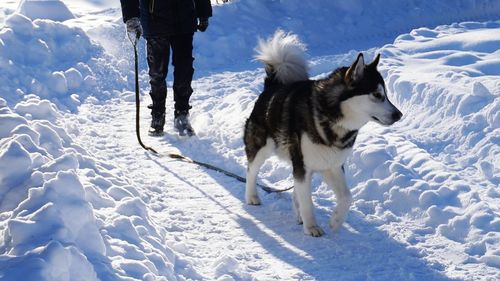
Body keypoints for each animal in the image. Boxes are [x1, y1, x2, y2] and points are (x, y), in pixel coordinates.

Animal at [242, 31, 402, 236]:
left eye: (386, 95)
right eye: (376, 95)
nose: (399, 115)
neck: (333, 120)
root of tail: (271, 87)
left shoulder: (332, 165)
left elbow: (347, 197)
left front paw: (335, 221)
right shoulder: (304, 165)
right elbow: (308, 202)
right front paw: (312, 227)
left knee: (295, 191)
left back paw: (298, 215)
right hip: (262, 147)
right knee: (251, 171)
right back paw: (252, 196)